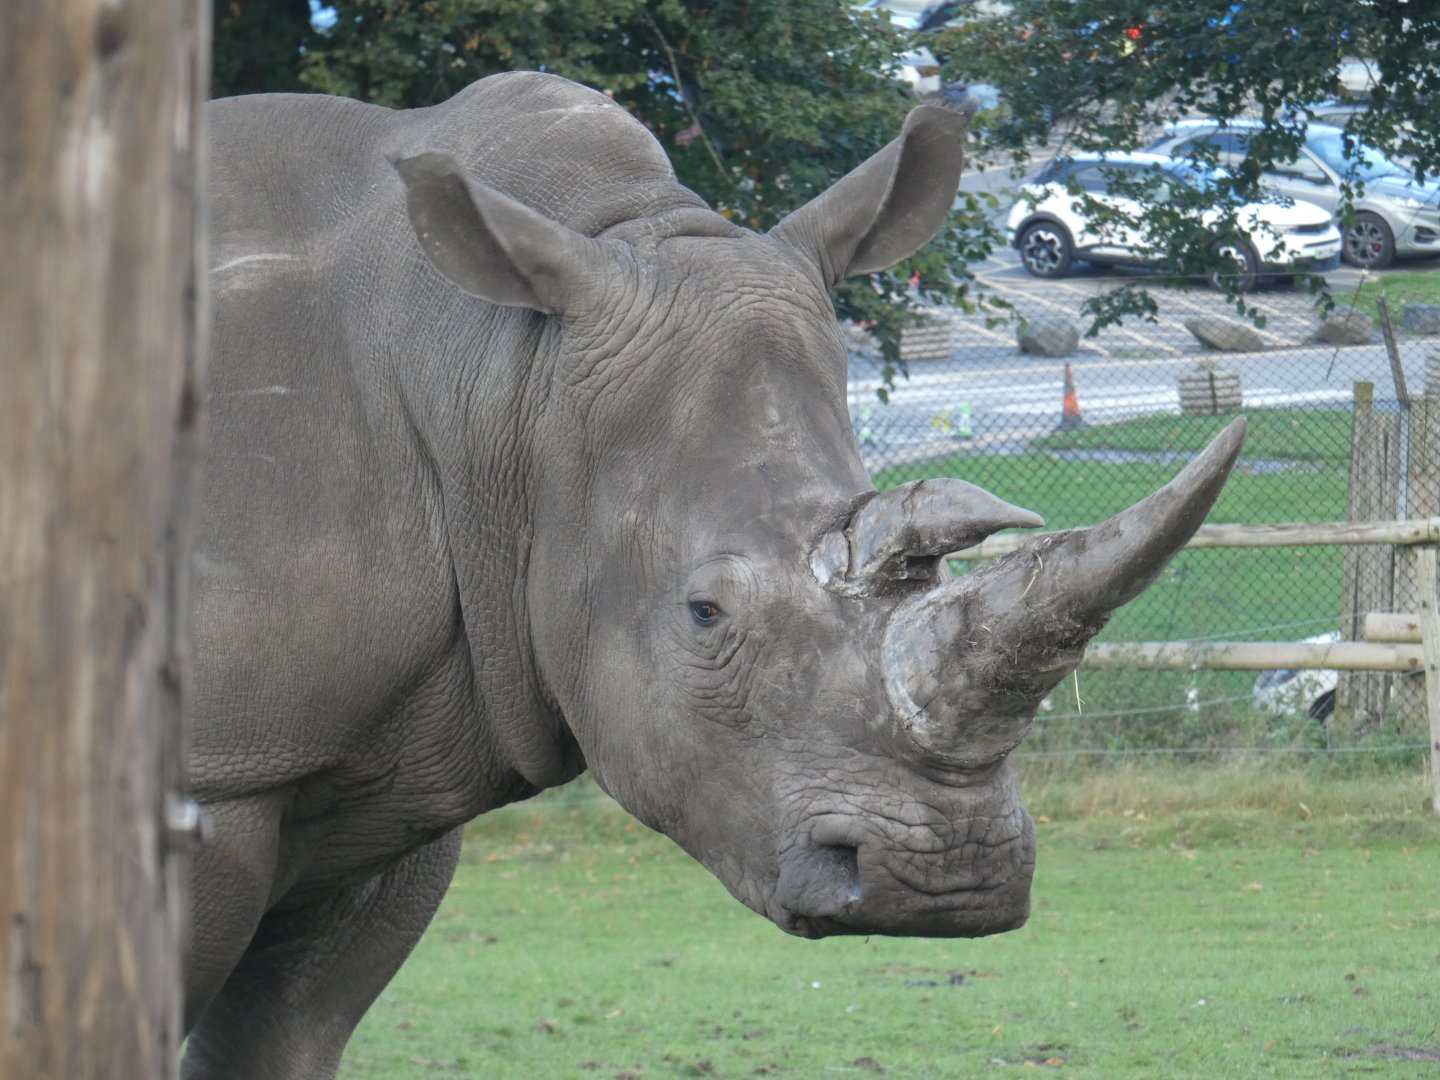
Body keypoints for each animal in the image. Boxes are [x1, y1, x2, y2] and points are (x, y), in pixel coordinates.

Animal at [187, 71, 1244, 1078]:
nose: (953, 871)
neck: (506, 378)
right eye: (704, 613)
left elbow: (284, 1039)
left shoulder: (394, 779)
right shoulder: (220, 774)